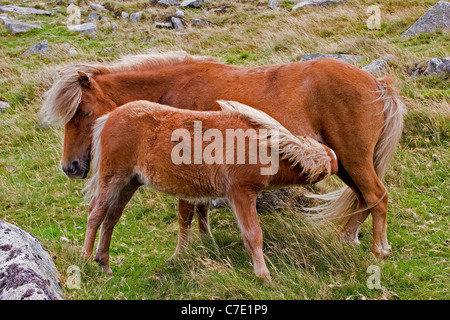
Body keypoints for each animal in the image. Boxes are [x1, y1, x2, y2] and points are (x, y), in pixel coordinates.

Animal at [40, 51, 406, 258]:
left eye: (84, 112)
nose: (71, 167)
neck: (173, 90)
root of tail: (378, 84)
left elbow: (186, 211)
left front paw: (184, 252)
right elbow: (200, 208)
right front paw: (205, 241)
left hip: (354, 160)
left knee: (377, 196)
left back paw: (379, 250)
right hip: (346, 164)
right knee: (363, 198)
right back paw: (346, 240)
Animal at [83, 99, 338, 278]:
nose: (338, 164)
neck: (263, 145)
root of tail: (109, 117)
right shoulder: (241, 193)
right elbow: (253, 234)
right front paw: (263, 275)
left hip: (130, 182)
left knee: (111, 217)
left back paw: (104, 262)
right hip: (113, 178)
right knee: (96, 213)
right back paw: (86, 260)